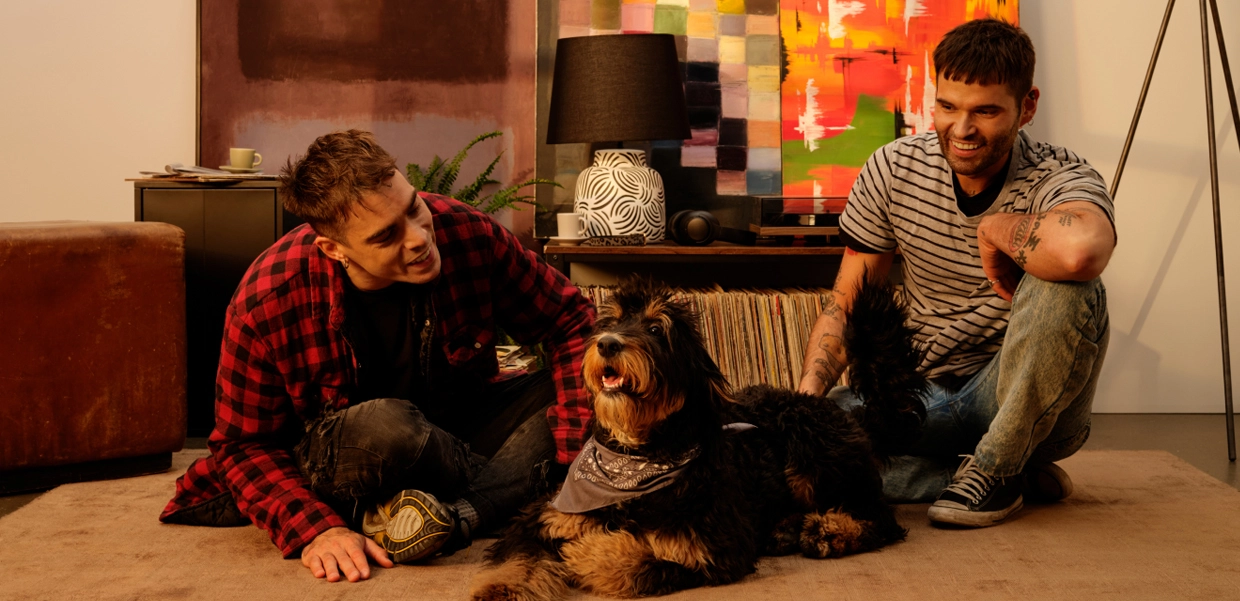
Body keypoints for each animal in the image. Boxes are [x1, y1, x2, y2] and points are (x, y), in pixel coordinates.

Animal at [468, 277, 927, 599]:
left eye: (656, 328)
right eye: (610, 322)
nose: (607, 344)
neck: (635, 456)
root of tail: (850, 415)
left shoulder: (708, 547)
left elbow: (637, 557)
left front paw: (586, 552)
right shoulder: (543, 518)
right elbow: (521, 556)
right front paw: (501, 588)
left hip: (811, 451)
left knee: (882, 520)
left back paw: (829, 531)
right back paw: (785, 530)